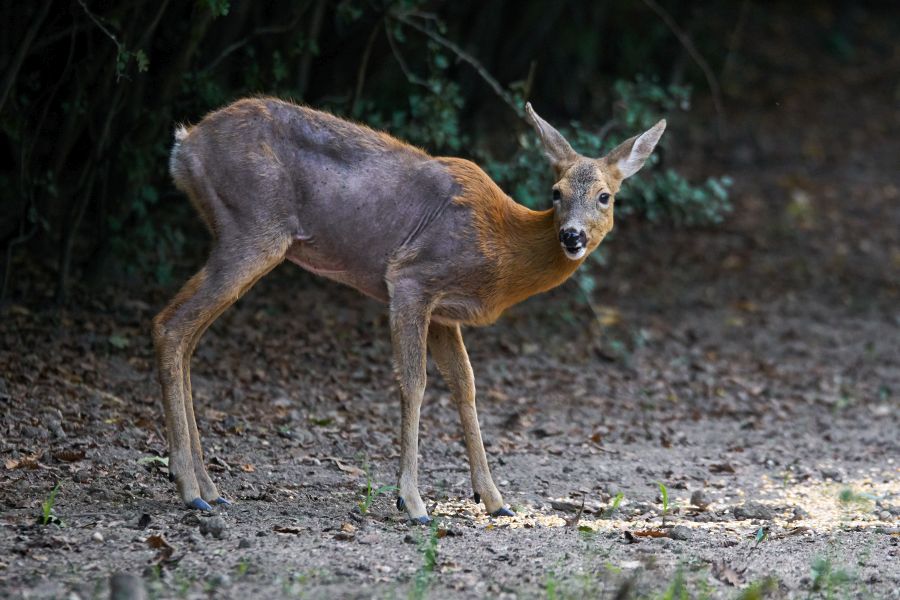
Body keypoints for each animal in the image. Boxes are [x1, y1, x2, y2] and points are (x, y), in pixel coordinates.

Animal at [153, 96, 660, 524]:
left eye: (605, 196)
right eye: (556, 192)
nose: (571, 235)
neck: (500, 248)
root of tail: (185, 145)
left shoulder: (445, 313)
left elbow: (465, 386)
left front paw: (494, 500)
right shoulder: (411, 278)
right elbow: (414, 383)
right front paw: (412, 502)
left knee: (185, 336)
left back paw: (209, 488)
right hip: (253, 227)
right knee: (169, 324)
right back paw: (191, 490)